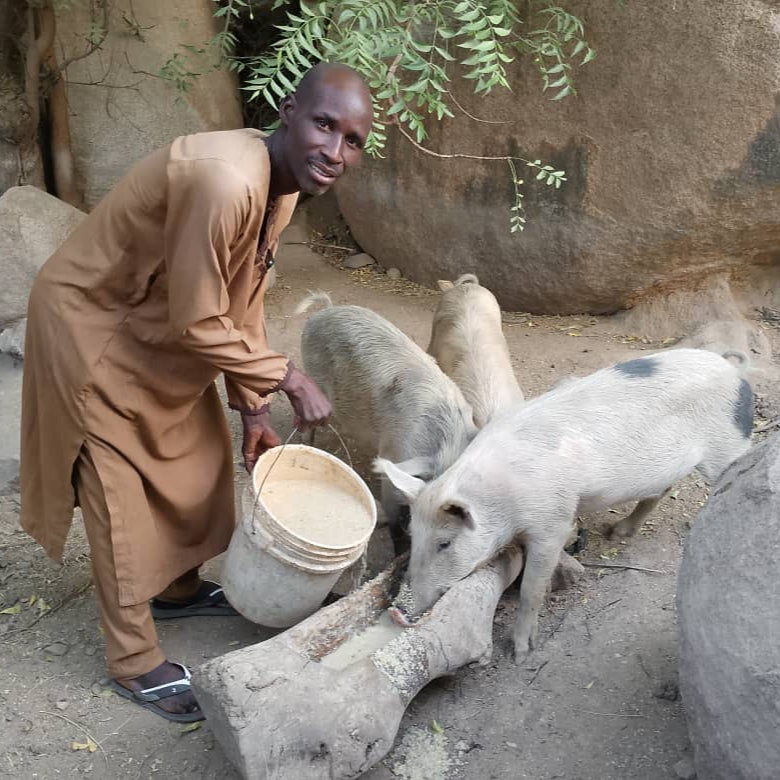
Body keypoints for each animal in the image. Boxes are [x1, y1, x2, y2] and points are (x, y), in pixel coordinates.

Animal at [376, 348, 753, 659]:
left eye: (445, 543)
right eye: (413, 536)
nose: (397, 611)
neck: (503, 498)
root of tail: (735, 372)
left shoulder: (554, 520)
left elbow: (532, 589)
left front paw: (521, 654)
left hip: (728, 447)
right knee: (659, 491)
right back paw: (617, 533)